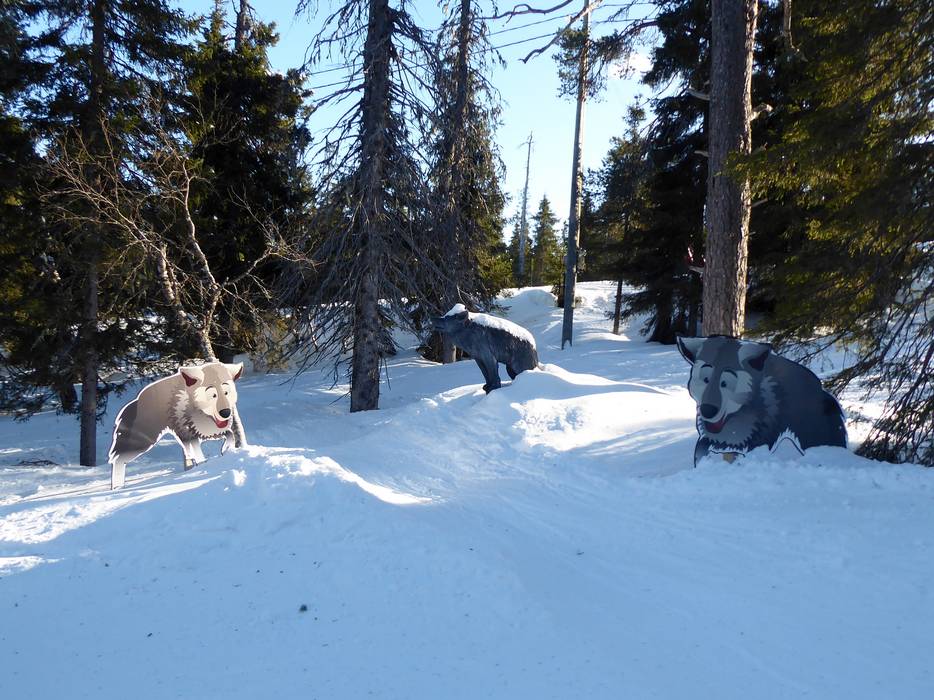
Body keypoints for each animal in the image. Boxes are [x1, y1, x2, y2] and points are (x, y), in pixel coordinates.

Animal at [109, 362, 246, 489]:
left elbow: (230, 435)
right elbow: (197, 453)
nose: (226, 412)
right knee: (118, 460)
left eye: (226, 393)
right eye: (213, 395)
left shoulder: (205, 432)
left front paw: (225, 450)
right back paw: (117, 488)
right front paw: (203, 464)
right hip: (142, 442)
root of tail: (134, 402)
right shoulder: (191, 434)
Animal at [676, 335, 847, 465]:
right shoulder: (712, 441)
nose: (707, 410)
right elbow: (702, 452)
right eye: (705, 379)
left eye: (725, 383)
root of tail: (822, 390)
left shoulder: (757, 440)